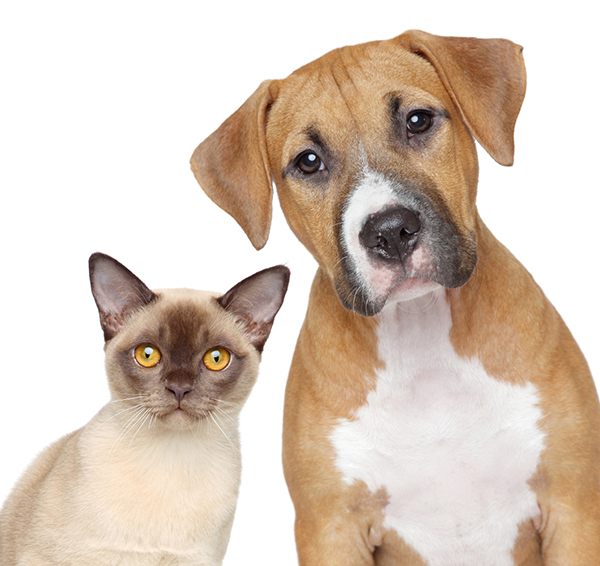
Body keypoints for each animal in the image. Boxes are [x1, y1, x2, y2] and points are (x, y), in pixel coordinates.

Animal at [191, 30, 600, 566]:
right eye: (308, 162)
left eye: (417, 121)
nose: (390, 232)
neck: (421, 338)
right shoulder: (331, 528)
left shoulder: (573, 508)